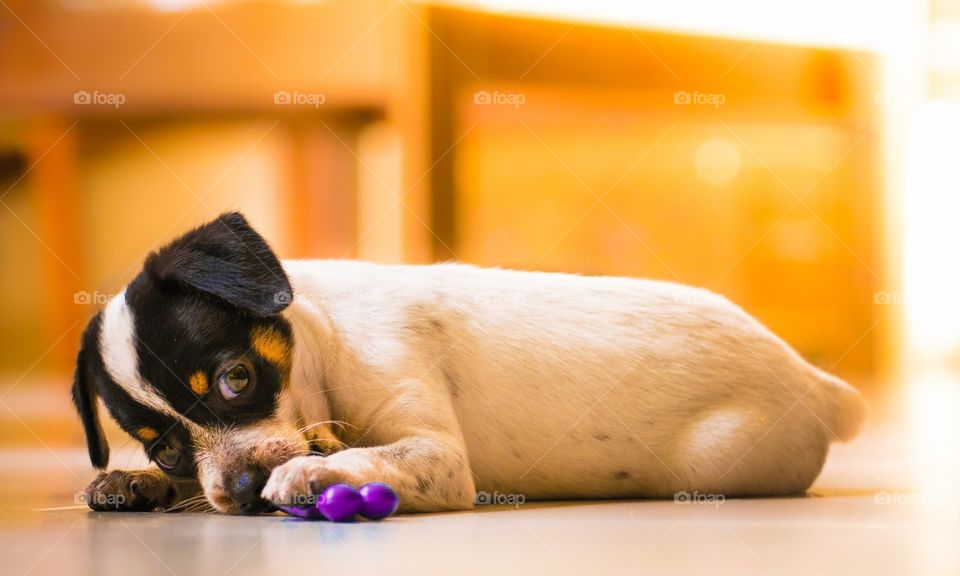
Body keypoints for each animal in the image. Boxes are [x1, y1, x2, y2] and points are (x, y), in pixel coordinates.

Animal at [75, 210, 868, 512]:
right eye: (165, 447)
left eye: (236, 378)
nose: (239, 491)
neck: (325, 349)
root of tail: (813, 380)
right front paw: (136, 483)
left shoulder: (439, 458)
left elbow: (360, 457)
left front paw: (312, 471)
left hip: (722, 461)